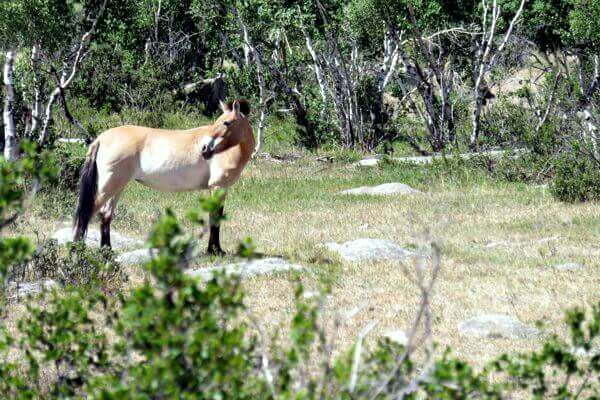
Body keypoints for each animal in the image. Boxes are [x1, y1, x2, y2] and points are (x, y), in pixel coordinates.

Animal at [73, 99, 255, 255]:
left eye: (226, 122)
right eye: (218, 121)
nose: (204, 149)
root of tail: (100, 139)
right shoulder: (218, 187)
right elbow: (215, 218)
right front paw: (215, 251)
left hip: (117, 186)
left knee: (105, 214)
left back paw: (107, 250)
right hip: (109, 186)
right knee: (87, 213)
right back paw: (77, 250)